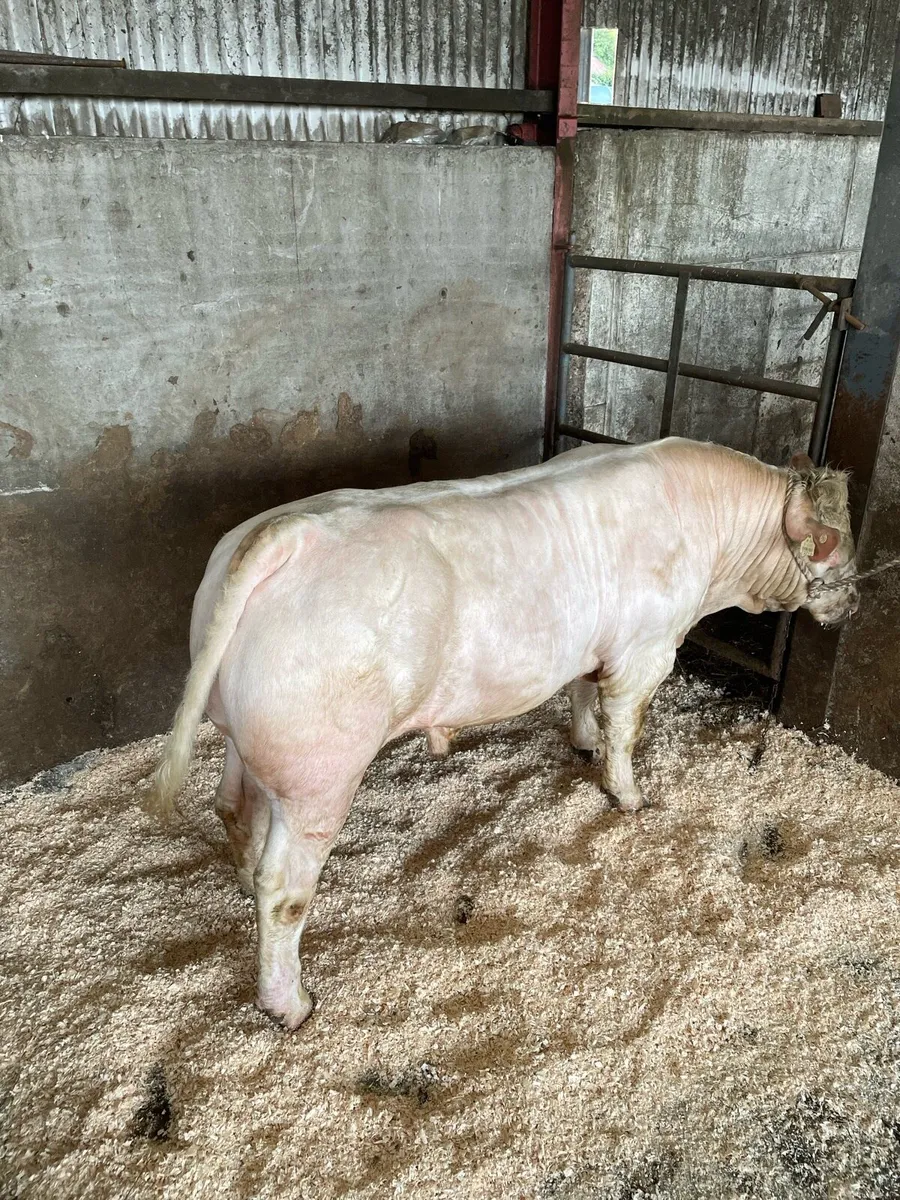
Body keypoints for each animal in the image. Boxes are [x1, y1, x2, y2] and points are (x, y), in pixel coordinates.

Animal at [146, 437, 858, 1029]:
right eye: (836, 552)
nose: (852, 604)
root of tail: (280, 535)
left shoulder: (590, 648)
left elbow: (583, 695)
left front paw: (583, 745)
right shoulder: (647, 648)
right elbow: (625, 727)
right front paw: (628, 797)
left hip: (244, 736)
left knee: (233, 807)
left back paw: (242, 883)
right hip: (320, 772)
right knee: (285, 891)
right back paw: (290, 1004)